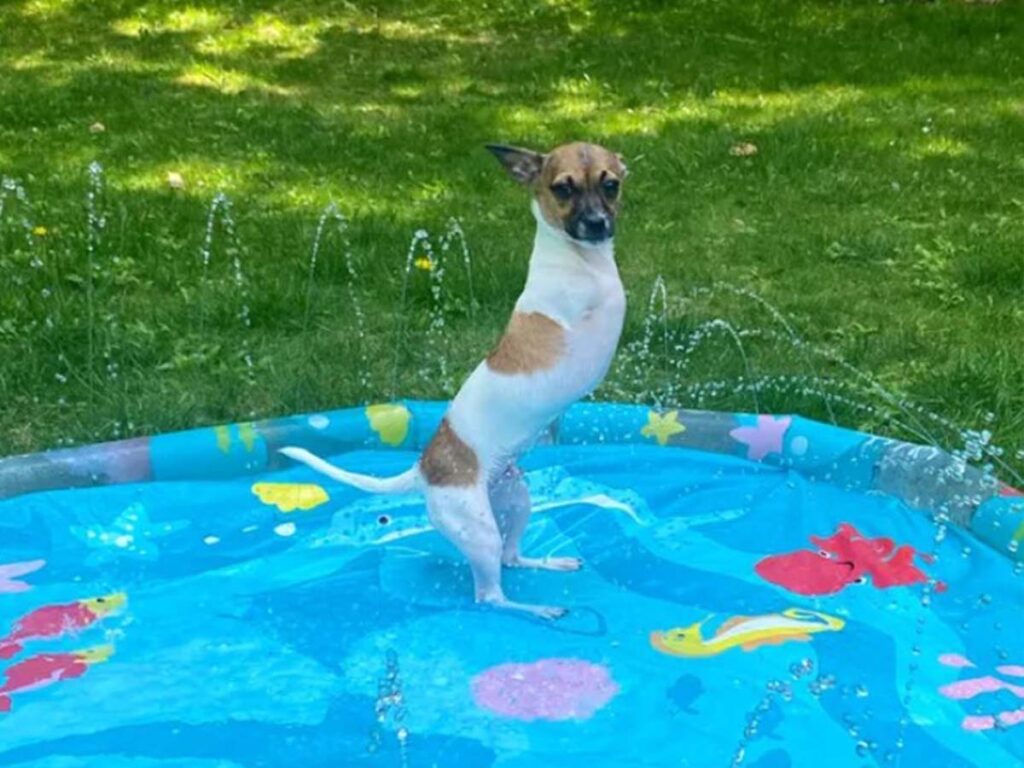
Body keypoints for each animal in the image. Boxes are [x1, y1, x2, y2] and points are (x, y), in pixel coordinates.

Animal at [284, 140, 626, 618]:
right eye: (563, 189)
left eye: (611, 184)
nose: (596, 224)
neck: (580, 259)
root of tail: (424, 468)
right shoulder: (593, 312)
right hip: (478, 529)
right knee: (491, 596)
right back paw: (535, 609)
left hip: (515, 499)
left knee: (513, 557)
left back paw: (548, 564)